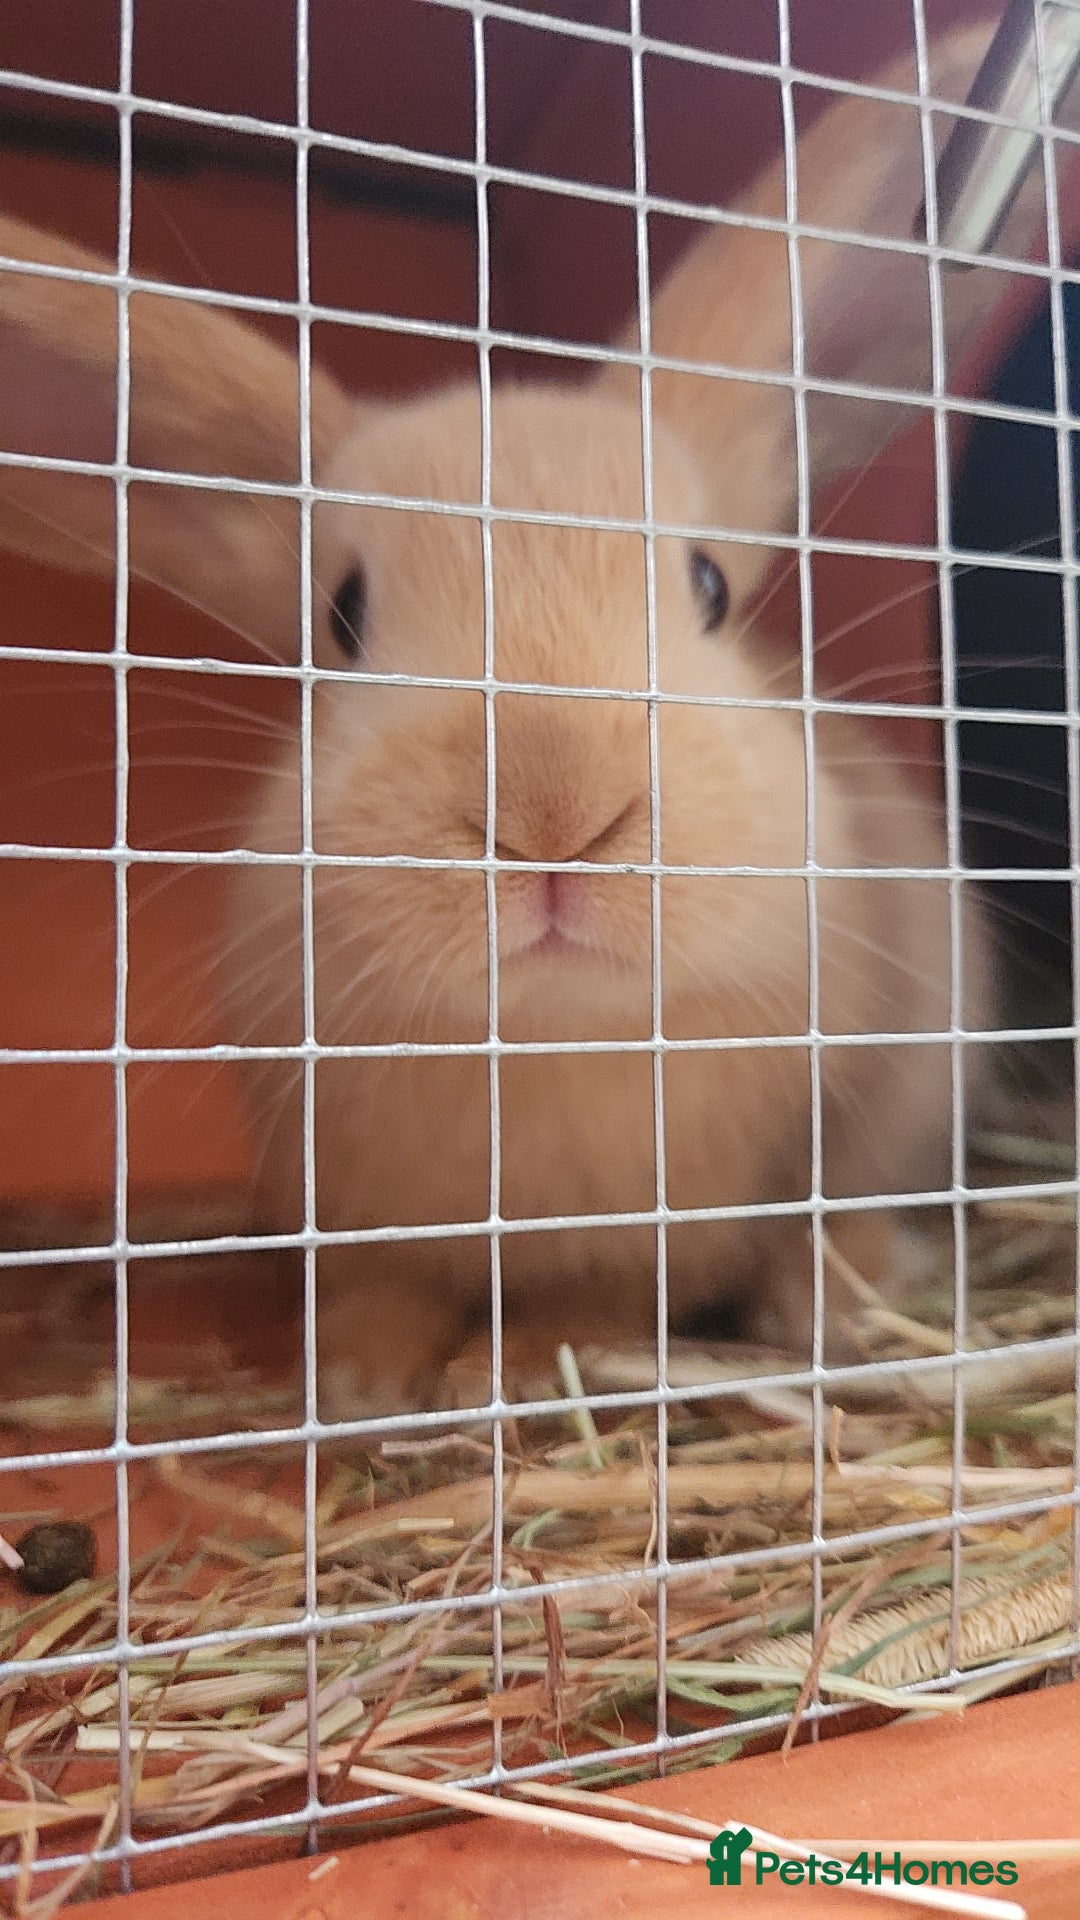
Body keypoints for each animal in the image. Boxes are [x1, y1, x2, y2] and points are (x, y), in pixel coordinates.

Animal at [0, 22, 1069, 1418]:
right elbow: (386, 1295)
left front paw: (498, 1374)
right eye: (343, 614)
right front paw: (360, 1381)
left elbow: (595, 1306)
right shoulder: (362, 1216)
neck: (547, 1034)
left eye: (709, 587)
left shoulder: (673, 1229)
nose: (553, 812)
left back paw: (830, 1298)